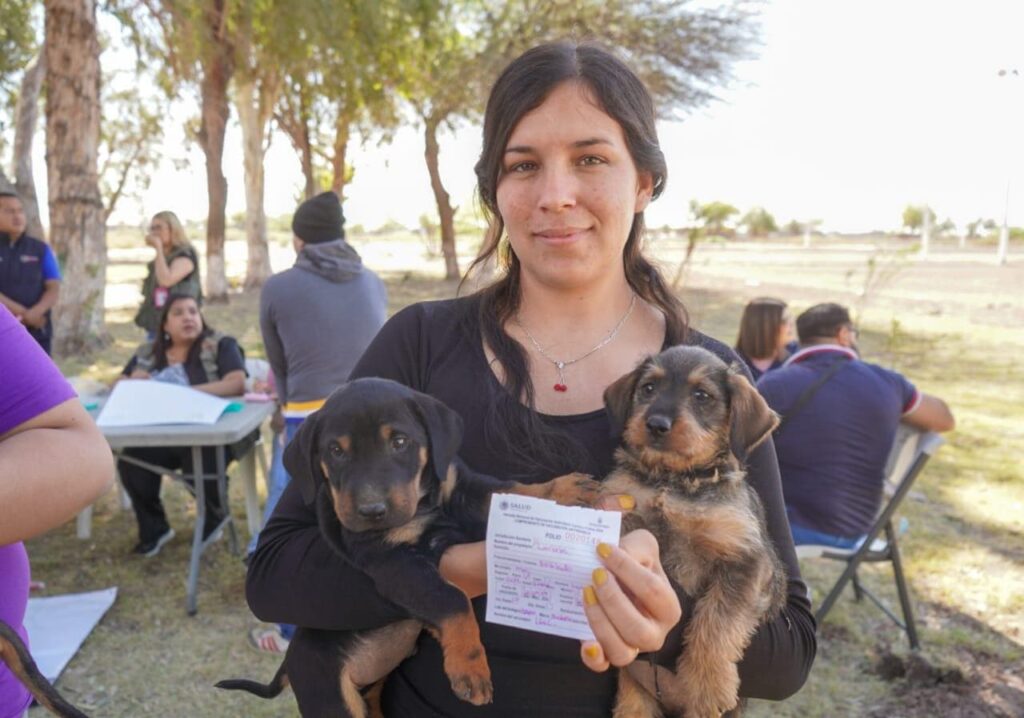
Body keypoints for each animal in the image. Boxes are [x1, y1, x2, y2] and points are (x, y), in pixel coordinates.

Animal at [602, 344, 786, 712]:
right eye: (648, 388)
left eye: (702, 395)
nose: (656, 424)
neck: (674, 481)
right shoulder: (625, 507)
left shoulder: (745, 561)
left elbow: (717, 621)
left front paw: (709, 683)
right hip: (634, 700)